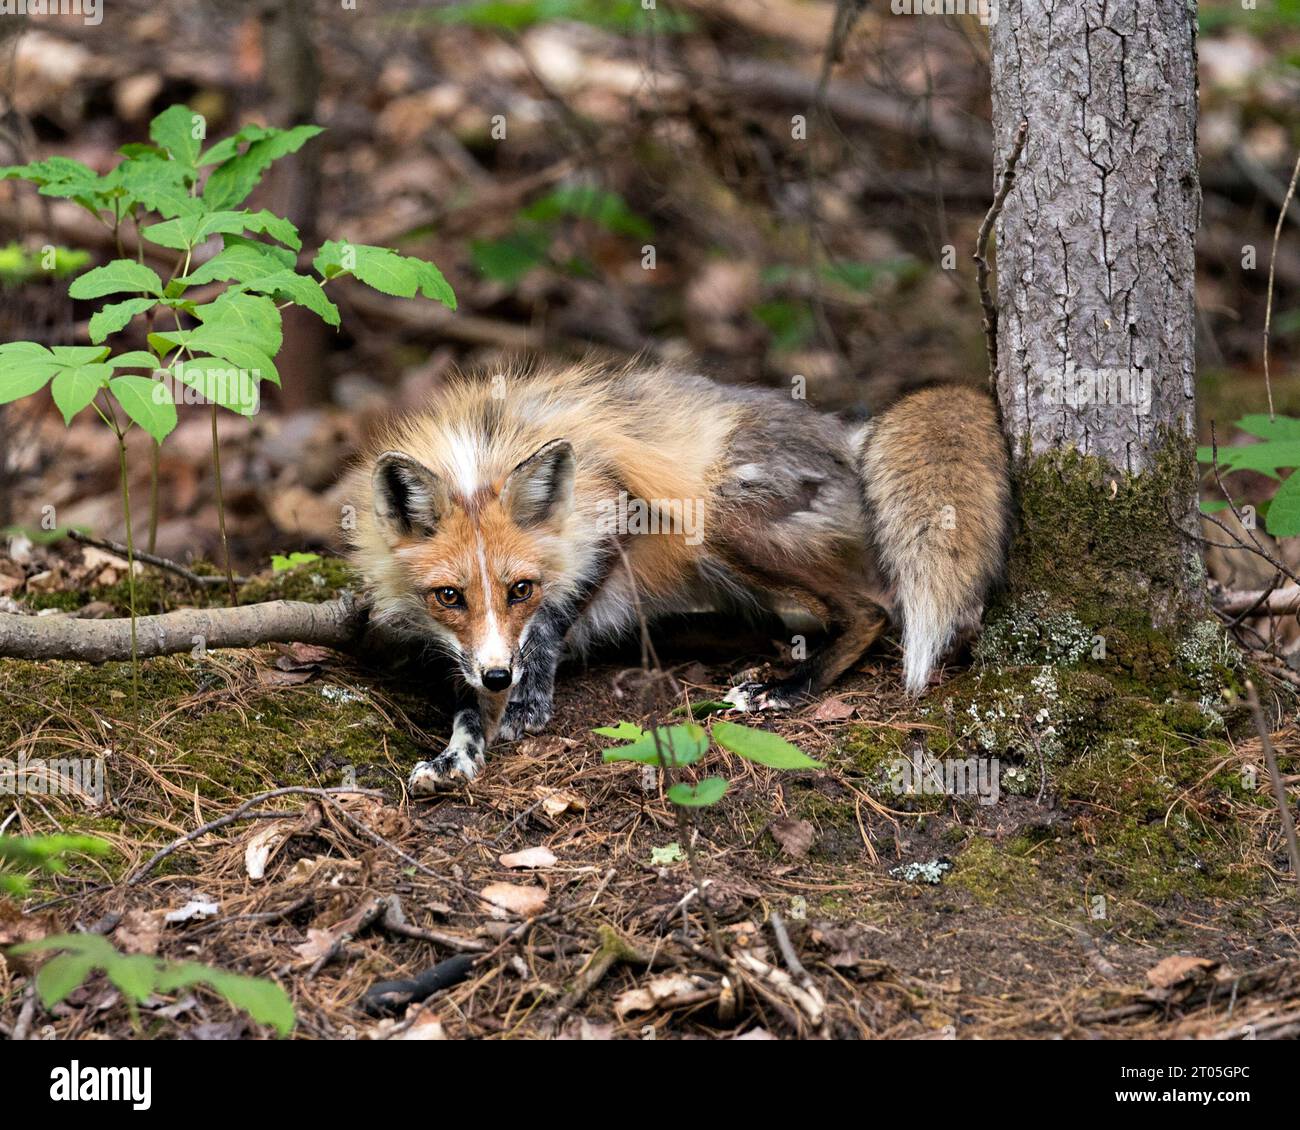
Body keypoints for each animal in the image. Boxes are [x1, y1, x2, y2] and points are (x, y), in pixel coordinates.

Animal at [348, 361, 1013, 795]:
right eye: (449, 597)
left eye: (521, 590)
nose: (499, 678)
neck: (483, 450)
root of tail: (845, 436)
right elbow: (466, 705)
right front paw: (456, 753)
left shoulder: (621, 511)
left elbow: (549, 626)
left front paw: (528, 699)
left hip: (714, 523)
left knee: (874, 611)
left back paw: (789, 687)